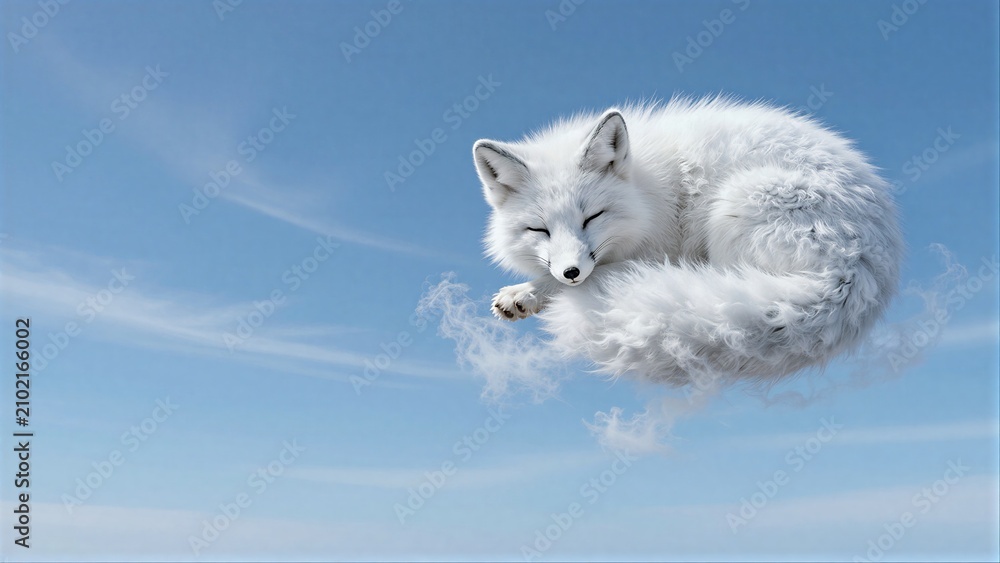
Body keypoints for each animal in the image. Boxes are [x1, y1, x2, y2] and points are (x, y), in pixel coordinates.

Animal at [472, 97, 902, 386]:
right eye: (539, 229)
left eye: (591, 217)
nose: (571, 272)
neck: (648, 192)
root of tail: (857, 266)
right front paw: (530, 292)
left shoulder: (657, 243)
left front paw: (529, 291)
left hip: (733, 205)